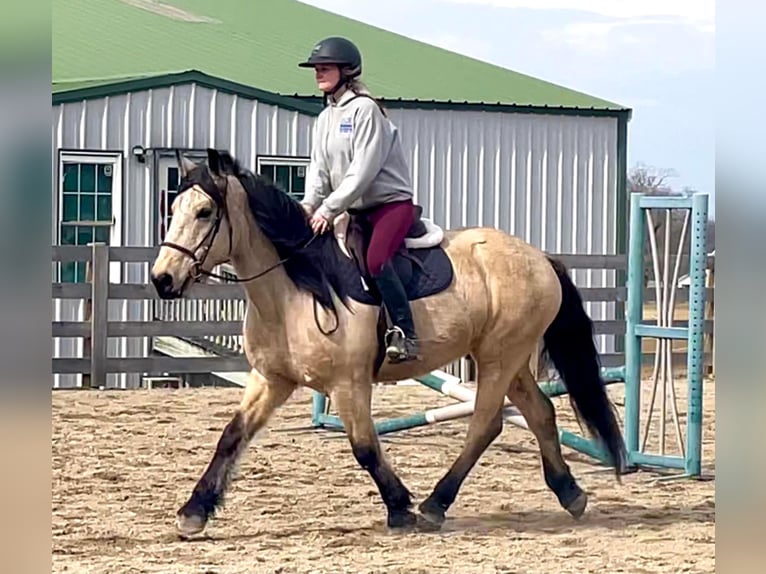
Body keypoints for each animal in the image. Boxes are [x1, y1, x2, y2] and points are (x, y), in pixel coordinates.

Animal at [148, 148, 624, 540]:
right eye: (173, 208)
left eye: (205, 211)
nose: (162, 279)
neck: (295, 289)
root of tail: (539, 257)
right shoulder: (271, 379)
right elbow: (231, 436)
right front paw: (193, 512)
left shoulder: (348, 384)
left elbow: (364, 447)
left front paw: (399, 508)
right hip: (508, 358)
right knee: (540, 413)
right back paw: (569, 493)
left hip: (498, 358)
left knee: (486, 424)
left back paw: (435, 504)